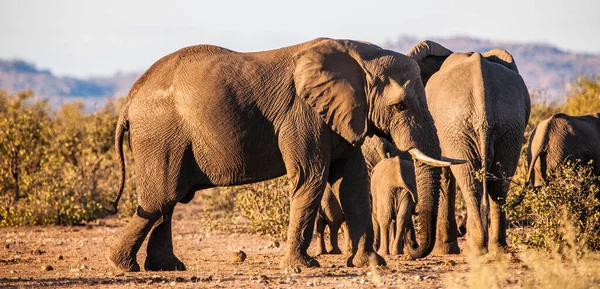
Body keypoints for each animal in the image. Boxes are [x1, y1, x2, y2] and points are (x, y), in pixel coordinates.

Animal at [108, 37, 458, 270]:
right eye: (399, 105)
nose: (411, 252)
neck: (362, 56)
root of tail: (130, 99)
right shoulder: (303, 113)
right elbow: (311, 177)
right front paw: (302, 268)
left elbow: (353, 184)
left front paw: (371, 263)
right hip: (160, 136)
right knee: (161, 197)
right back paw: (123, 266)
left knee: (167, 200)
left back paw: (164, 267)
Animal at [408, 41, 528, 254]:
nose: (410, 245)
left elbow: (445, 176)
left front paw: (444, 250)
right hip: (510, 125)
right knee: (499, 183)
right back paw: (498, 249)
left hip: (458, 127)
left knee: (470, 181)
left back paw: (476, 248)